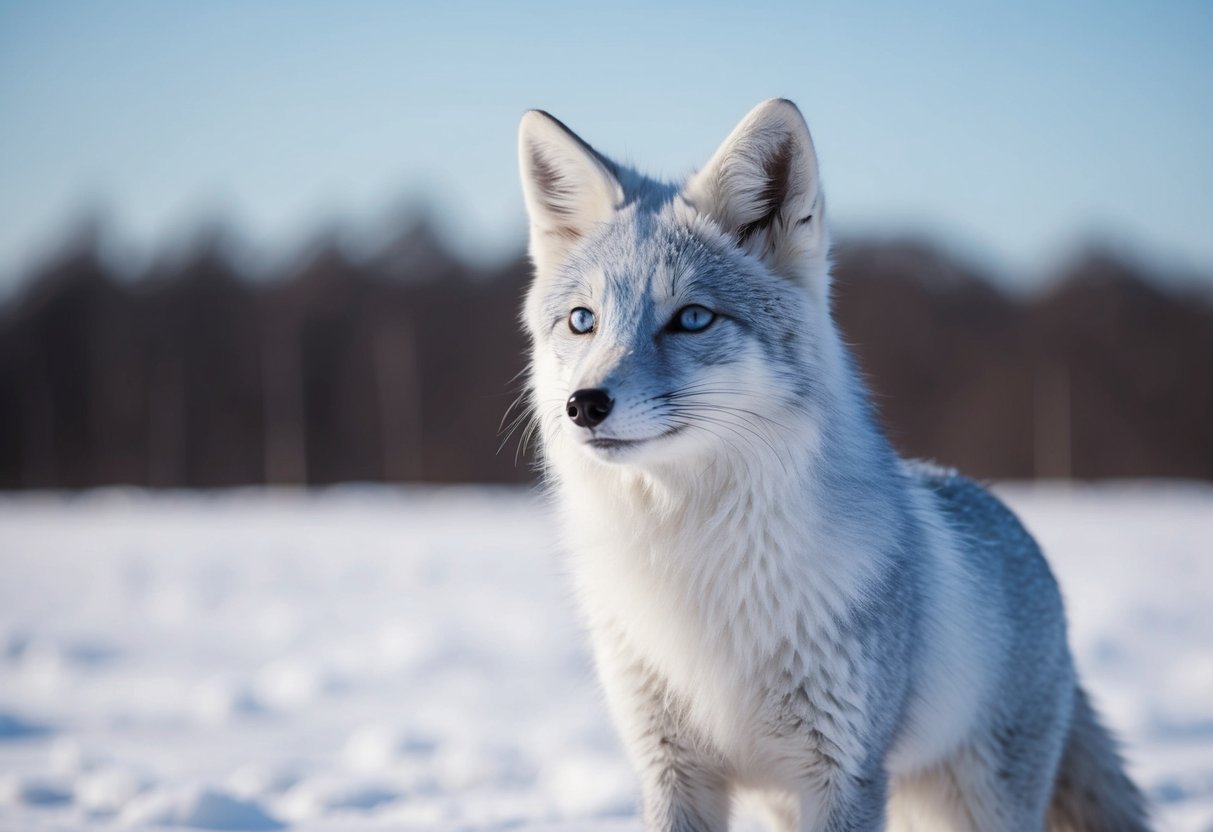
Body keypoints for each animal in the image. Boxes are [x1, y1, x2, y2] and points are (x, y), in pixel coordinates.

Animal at [516, 98, 1149, 832]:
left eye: (693, 318)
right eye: (582, 320)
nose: (583, 405)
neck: (693, 558)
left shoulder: (843, 770)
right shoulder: (671, 768)